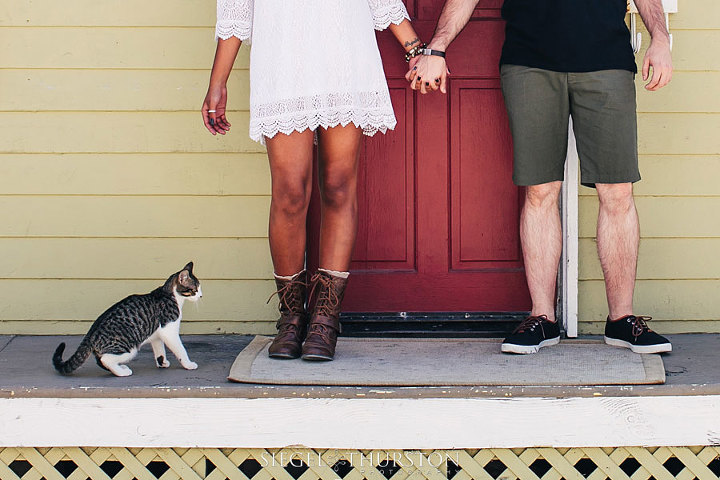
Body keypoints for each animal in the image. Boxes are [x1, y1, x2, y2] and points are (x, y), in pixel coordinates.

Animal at [53, 260, 201, 376]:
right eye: (194, 289)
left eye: (199, 288)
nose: (201, 296)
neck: (171, 295)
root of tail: (90, 334)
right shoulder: (169, 330)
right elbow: (180, 349)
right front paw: (188, 364)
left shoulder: (156, 334)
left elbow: (160, 351)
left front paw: (162, 363)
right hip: (129, 348)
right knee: (105, 359)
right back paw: (122, 372)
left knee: (100, 360)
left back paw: (120, 368)